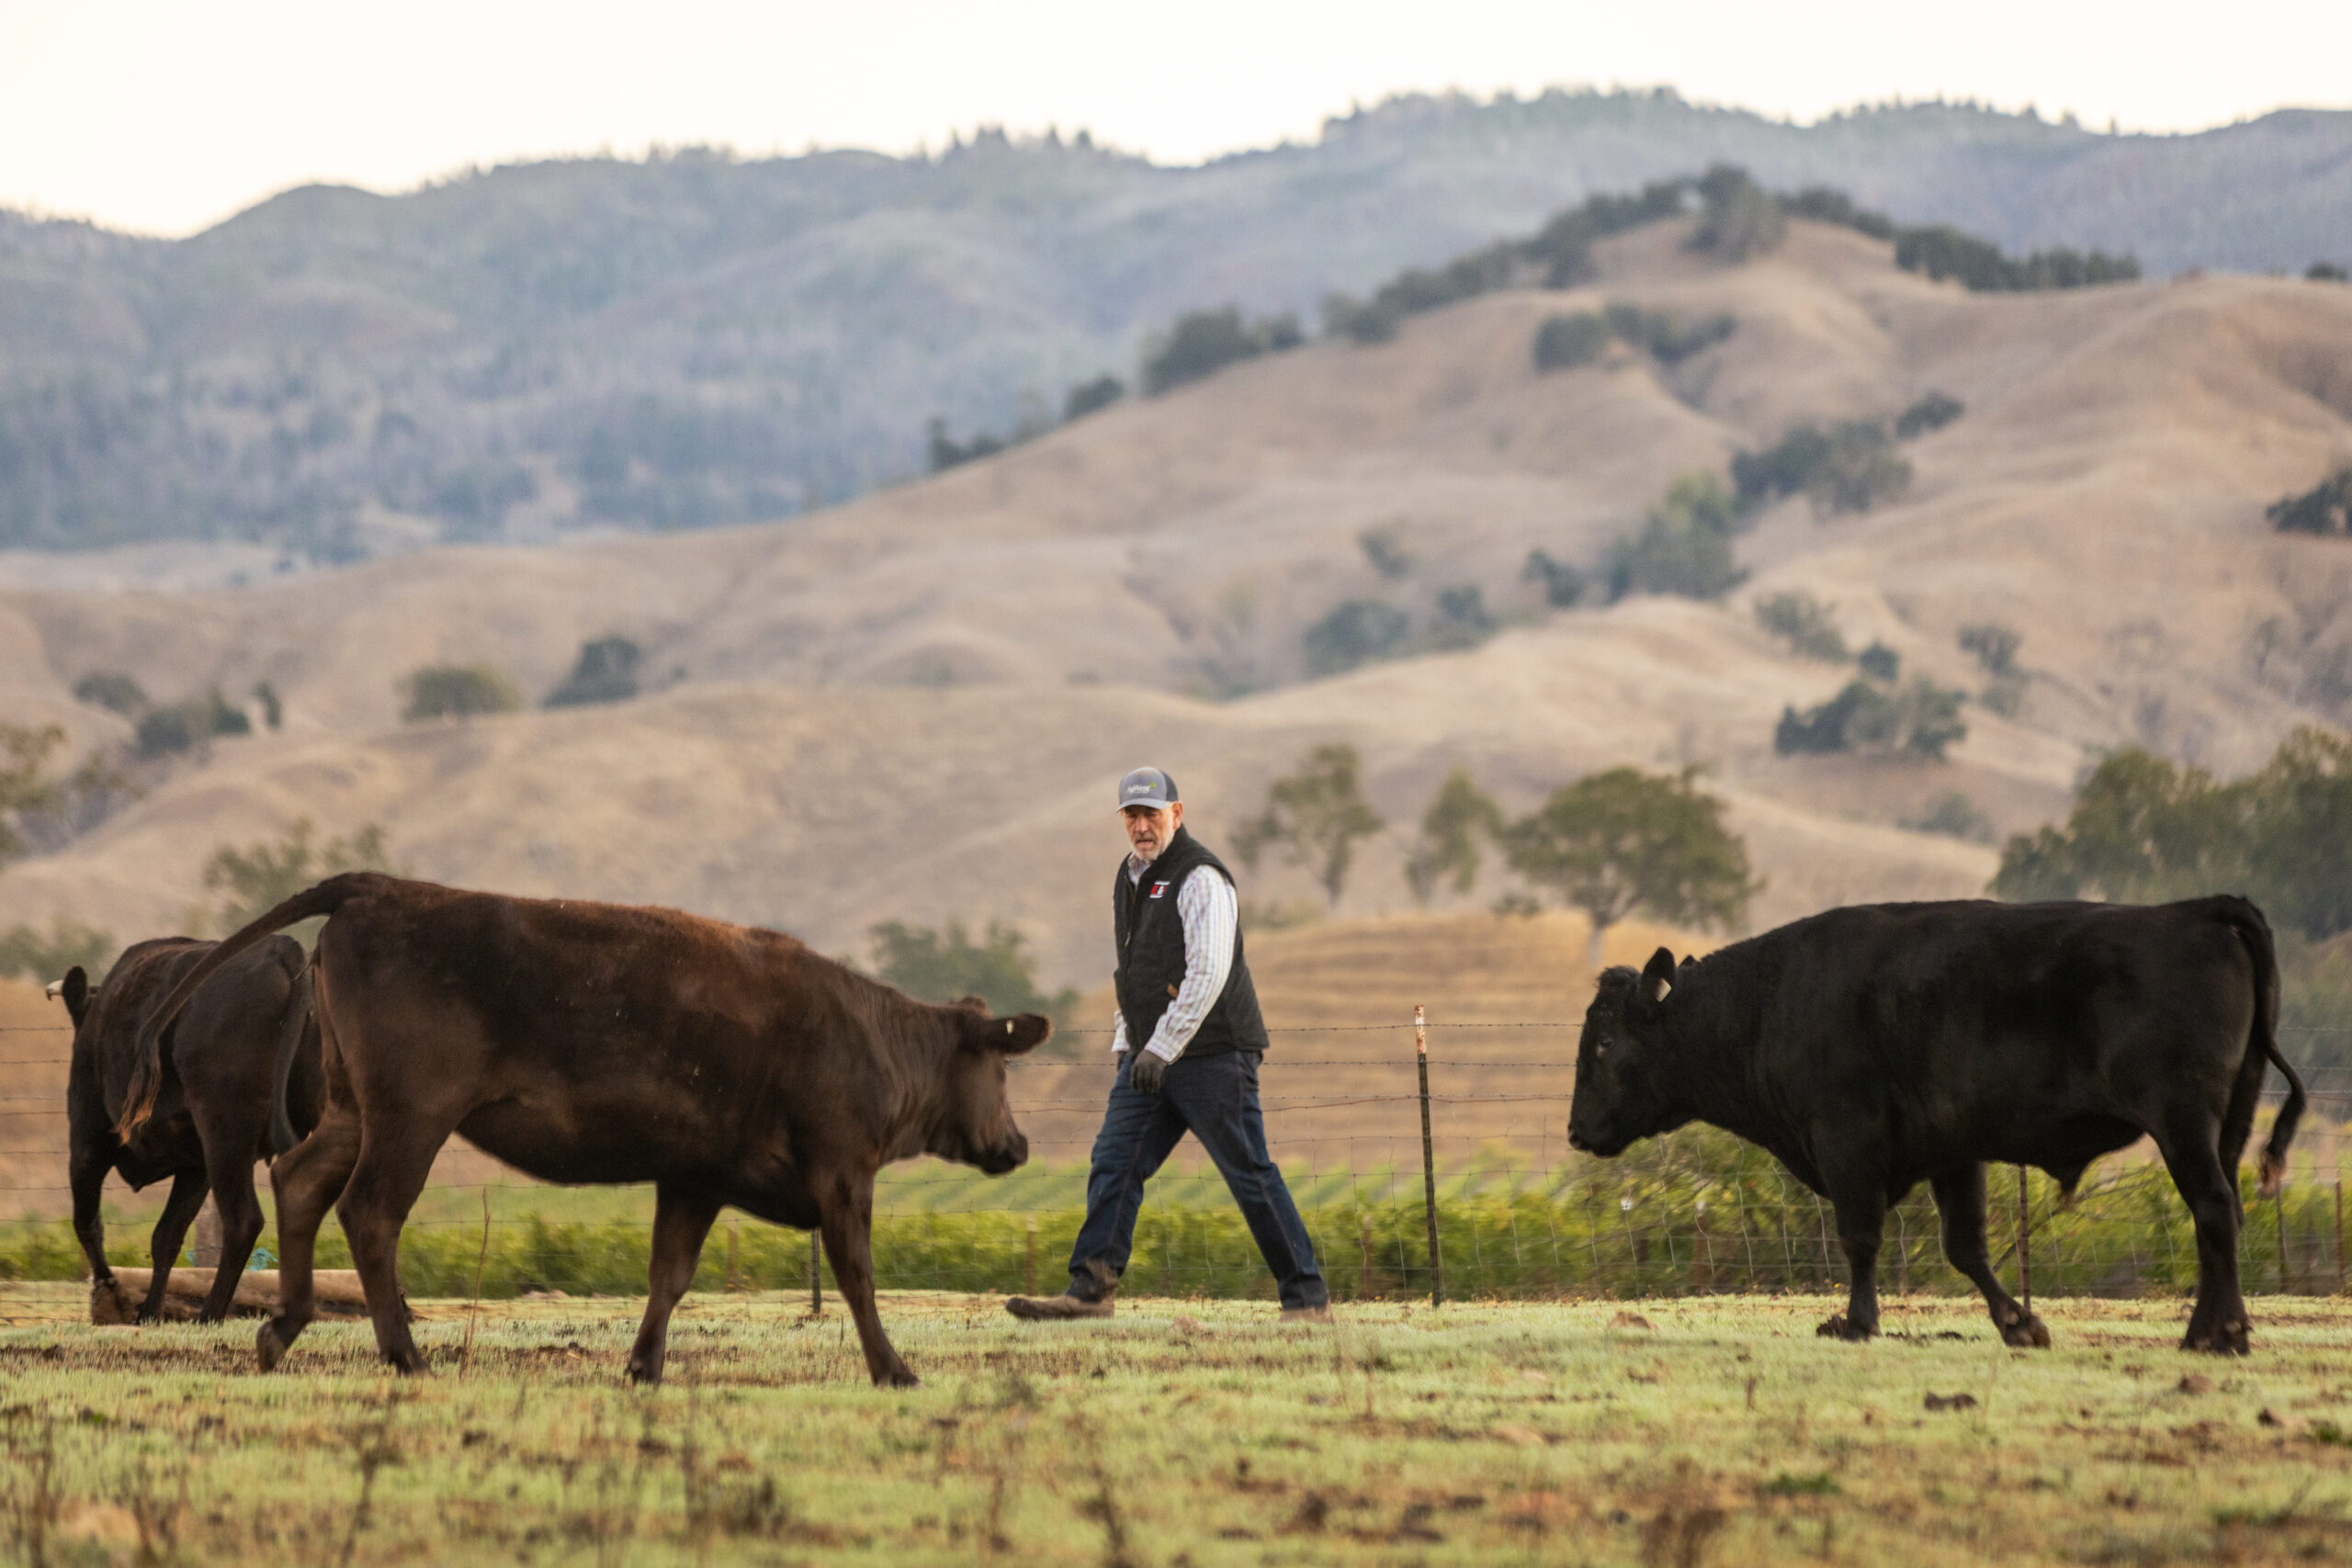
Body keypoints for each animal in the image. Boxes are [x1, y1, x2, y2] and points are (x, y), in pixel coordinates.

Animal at [54, 935, 322, 1323]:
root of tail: (279, 945)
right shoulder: (196, 1166)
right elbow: (166, 1235)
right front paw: (149, 1312)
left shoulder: (87, 1141)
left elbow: (87, 1223)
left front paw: (112, 1292)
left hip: (225, 1130)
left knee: (243, 1219)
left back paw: (209, 1314)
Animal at [117, 872, 1049, 1388]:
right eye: (1000, 1070)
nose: (1018, 1145)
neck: (872, 1034)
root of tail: (386, 888)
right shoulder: (841, 1172)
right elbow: (857, 1276)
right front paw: (895, 1368)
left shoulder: (694, 1178)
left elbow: (670, 1275)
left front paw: (642, 1366)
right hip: (412, 1118)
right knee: (369, 1211)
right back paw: (404, 1353)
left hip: (354, 1111)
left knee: (302, 1181)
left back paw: (285, 1326)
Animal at [1566, 896, 2306, 1355]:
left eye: (1604, 1042)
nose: (1575, 1130)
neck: (1770, 998)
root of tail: (2201, 909)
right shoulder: (1955, 1154)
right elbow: (1966, 1246)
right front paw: (2019, 1322)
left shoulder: (1847, 1145)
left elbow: (1862, 1239)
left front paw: (1856, 1322)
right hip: (2224, 1129)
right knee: (2221, 1217)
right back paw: (2207, 1331)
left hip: (2184, 1127)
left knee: (2213, 1210)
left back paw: (2223, 1334)